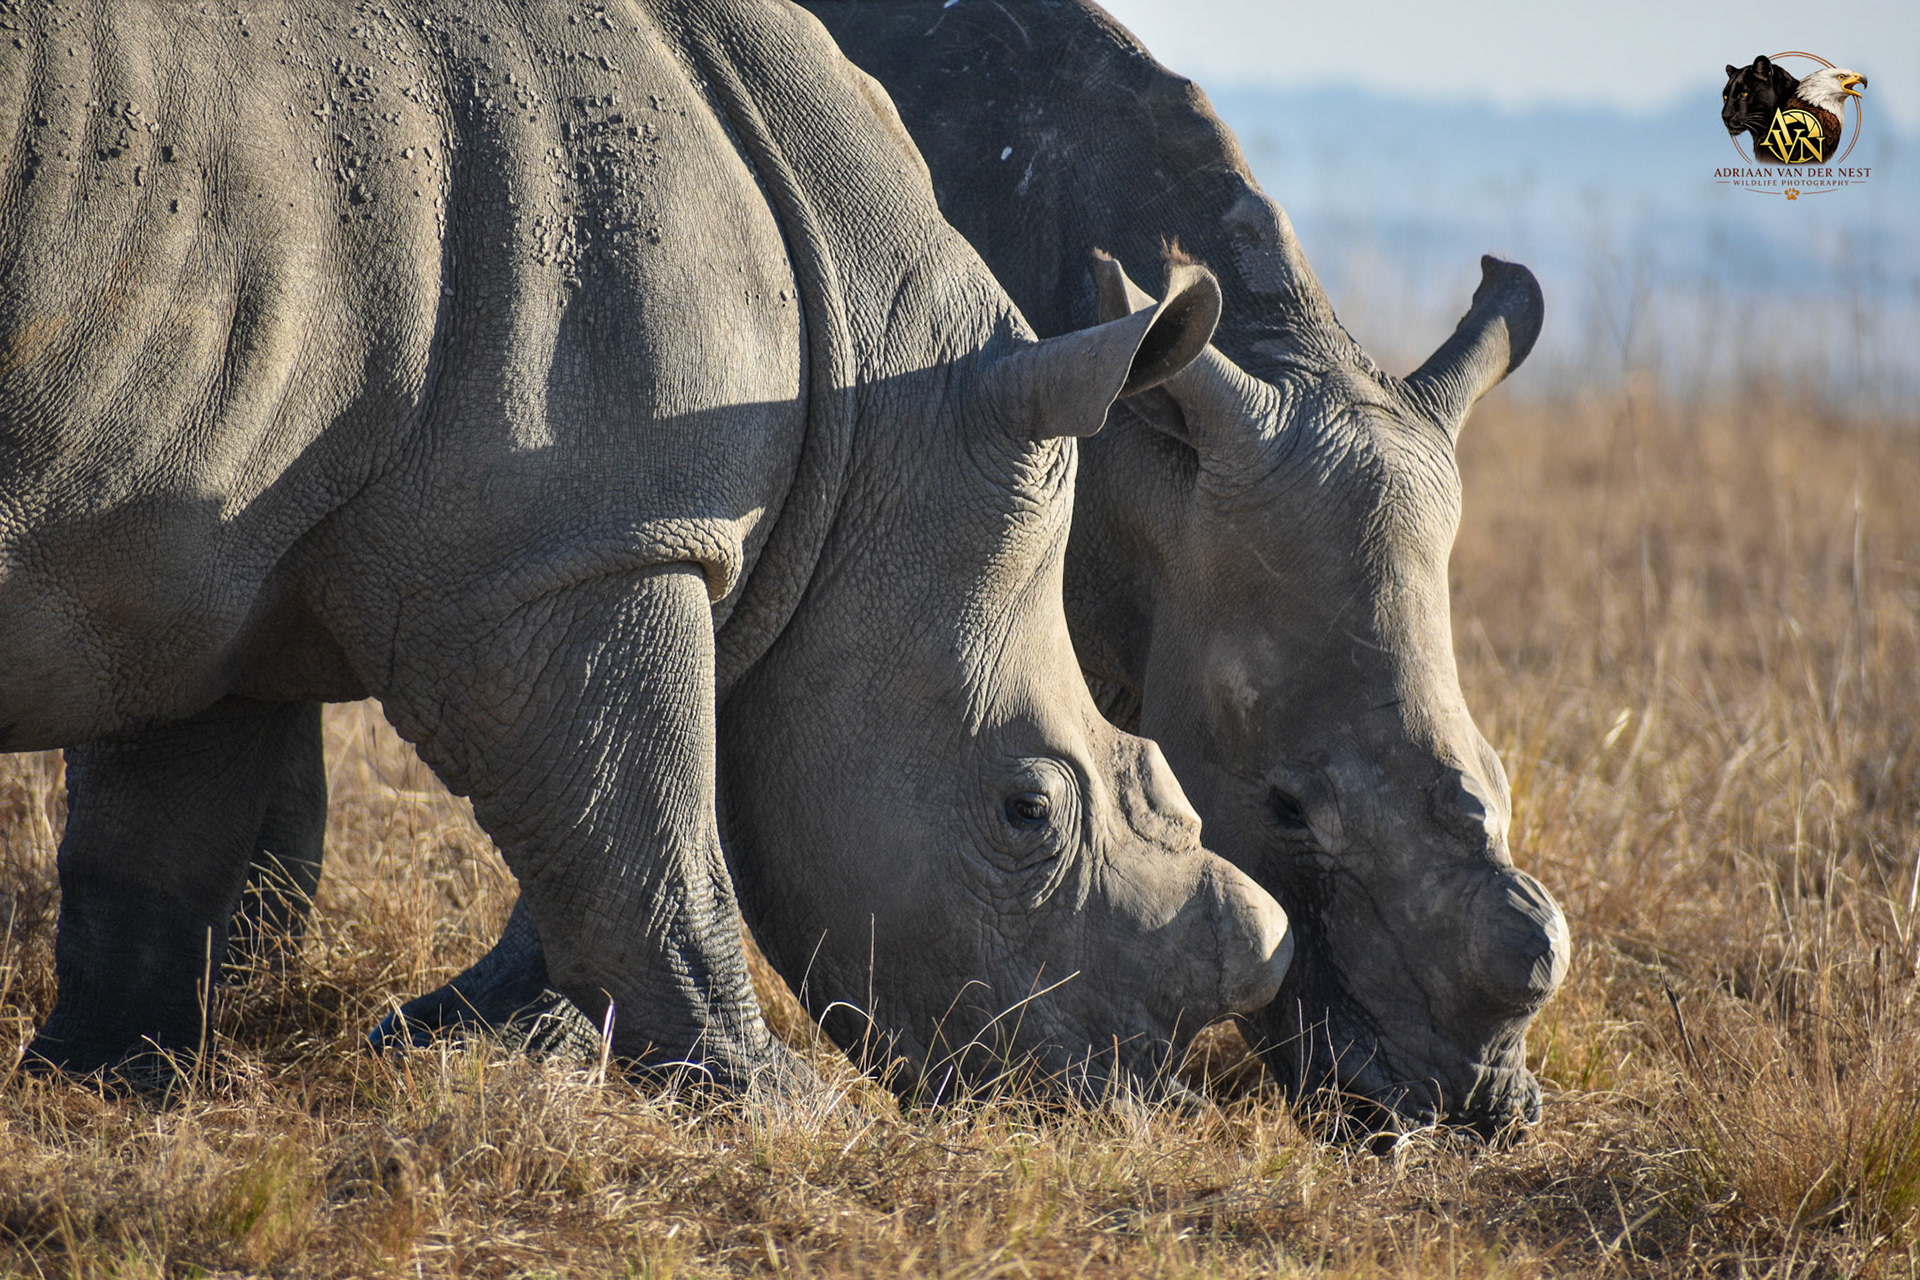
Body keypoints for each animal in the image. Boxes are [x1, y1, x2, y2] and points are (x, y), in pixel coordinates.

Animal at [0, 0, 1293, 1098]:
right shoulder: (578, 549)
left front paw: (107, 1084)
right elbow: (647, 846)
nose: (1115, 1092)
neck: (879, 408)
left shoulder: (182, 524)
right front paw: (780, 1111)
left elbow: (159, 837)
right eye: (1026, 810)